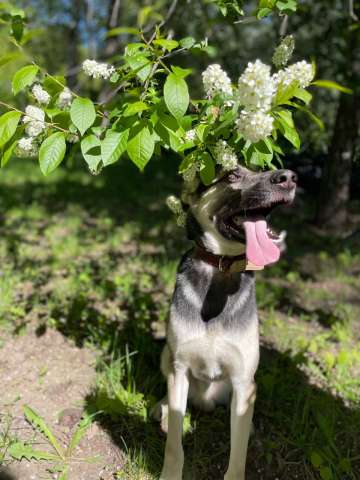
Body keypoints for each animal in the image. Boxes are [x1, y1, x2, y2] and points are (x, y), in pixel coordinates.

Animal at [159, 165, 296, 480]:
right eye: (232, 175)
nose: (288, 177)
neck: (221, 268)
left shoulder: (244, 380)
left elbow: (237, 455)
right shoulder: (179, 368)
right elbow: (174, 444)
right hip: (166, 356)